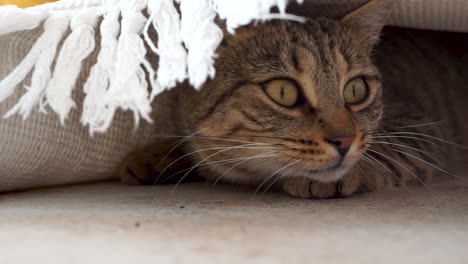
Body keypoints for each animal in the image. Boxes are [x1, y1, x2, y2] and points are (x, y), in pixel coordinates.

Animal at [121, 0, 468, 198]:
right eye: (283, 92)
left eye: (356, 89)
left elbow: (386, 149)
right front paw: (160, 156)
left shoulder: (422, 126)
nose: (344, 140)